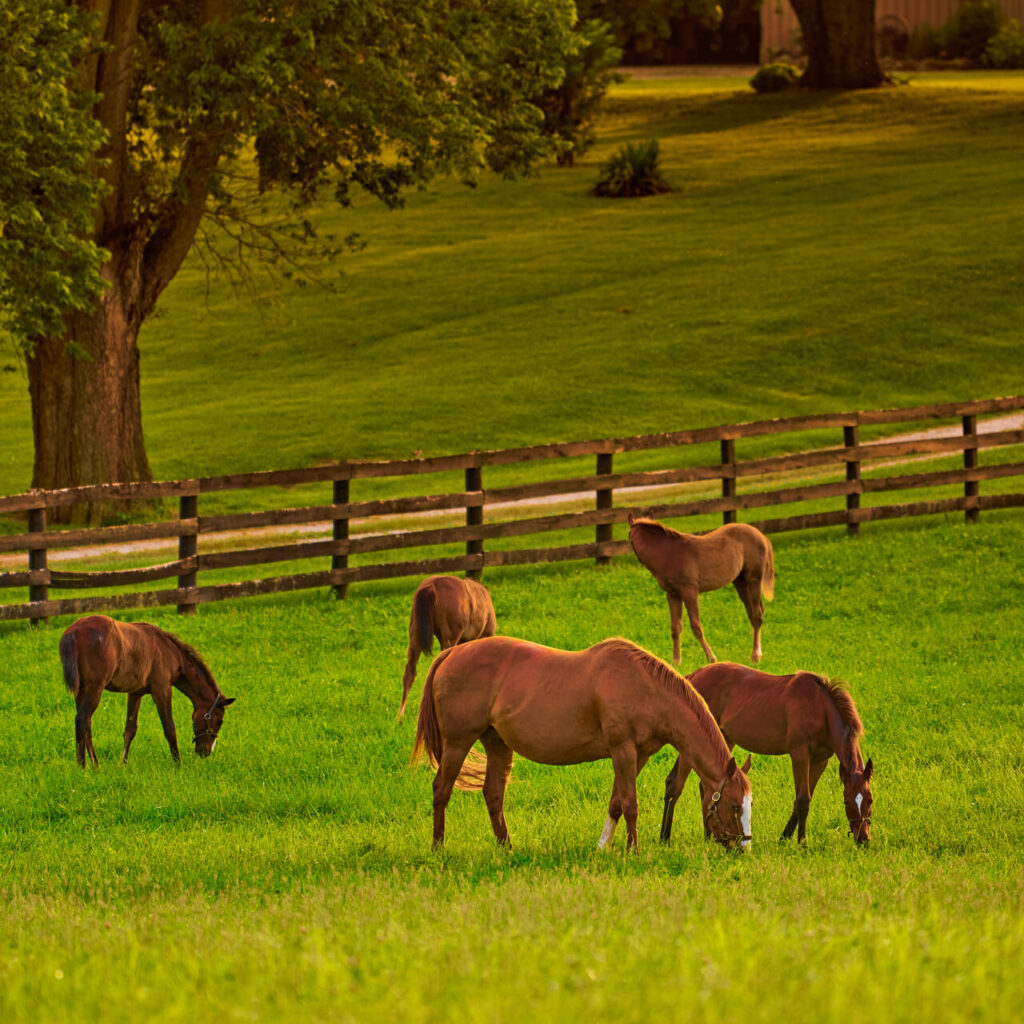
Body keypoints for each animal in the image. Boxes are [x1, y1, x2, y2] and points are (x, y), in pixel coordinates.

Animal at [59, 610, 235, 765]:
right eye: (219, 720)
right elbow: (170, 728)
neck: (169, 651)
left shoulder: (135, 693)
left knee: (86, 725)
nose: (205, 752)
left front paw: (123, 763)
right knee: (82, 720)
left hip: (81, 691)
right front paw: (178, 763)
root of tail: (73, 632)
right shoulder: (162, 690)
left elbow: (130, 729)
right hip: (94, 688)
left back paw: (95, 765)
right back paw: (83, 766)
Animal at [411, 634, 757, 851]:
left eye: (750, 804)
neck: (645, 687)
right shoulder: (623, 752)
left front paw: (603, 846)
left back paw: (506, 847)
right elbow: (630, 805)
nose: (743, 848)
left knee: (493, 795)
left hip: (497, 744)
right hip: (457, 743)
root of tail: (452, 653)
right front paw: (633, 850)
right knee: (441, 790)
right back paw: (438, 848)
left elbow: (616, 803)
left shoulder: (638, 756)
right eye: (733, 804)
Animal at [622, 512, 774, 663]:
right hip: (740, 582)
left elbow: (696, 626)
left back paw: (755, 656)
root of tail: (760, 534)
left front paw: (711, 658)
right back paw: (757, 652)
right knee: (752, 612)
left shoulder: (690, 591)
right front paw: (676, 661)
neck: (668, 553)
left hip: (754, 579)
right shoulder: (672, 594)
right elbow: (675, 627)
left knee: (757, 614)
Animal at [663, 663, 872, 847]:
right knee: (675, 784)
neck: (820, 708)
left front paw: (785, 838)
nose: (863, 839)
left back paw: (709, 837)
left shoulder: (820, 760)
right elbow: (803, 800)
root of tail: (693, 676)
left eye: (870, 800)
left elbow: (804, 798)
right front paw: (802, 843)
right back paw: (665, 838)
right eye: (847, 801)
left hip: (724, 737)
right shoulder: (800, 754)